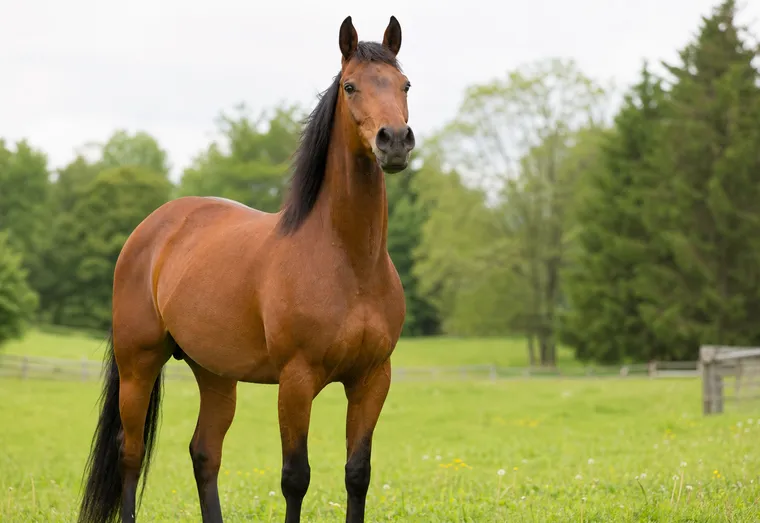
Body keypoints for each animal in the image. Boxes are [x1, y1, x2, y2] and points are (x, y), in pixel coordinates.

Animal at [77, 15, 415, 523]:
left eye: (404, 84)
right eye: (351, 86)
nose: (393, 141)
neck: (350, 262)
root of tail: (151, 229)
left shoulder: (373, 379)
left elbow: (358, 474)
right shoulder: (296, 380)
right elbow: (295, 477)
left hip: (214, 373)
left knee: (204, 453)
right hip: (138, 365)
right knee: (130, 454)